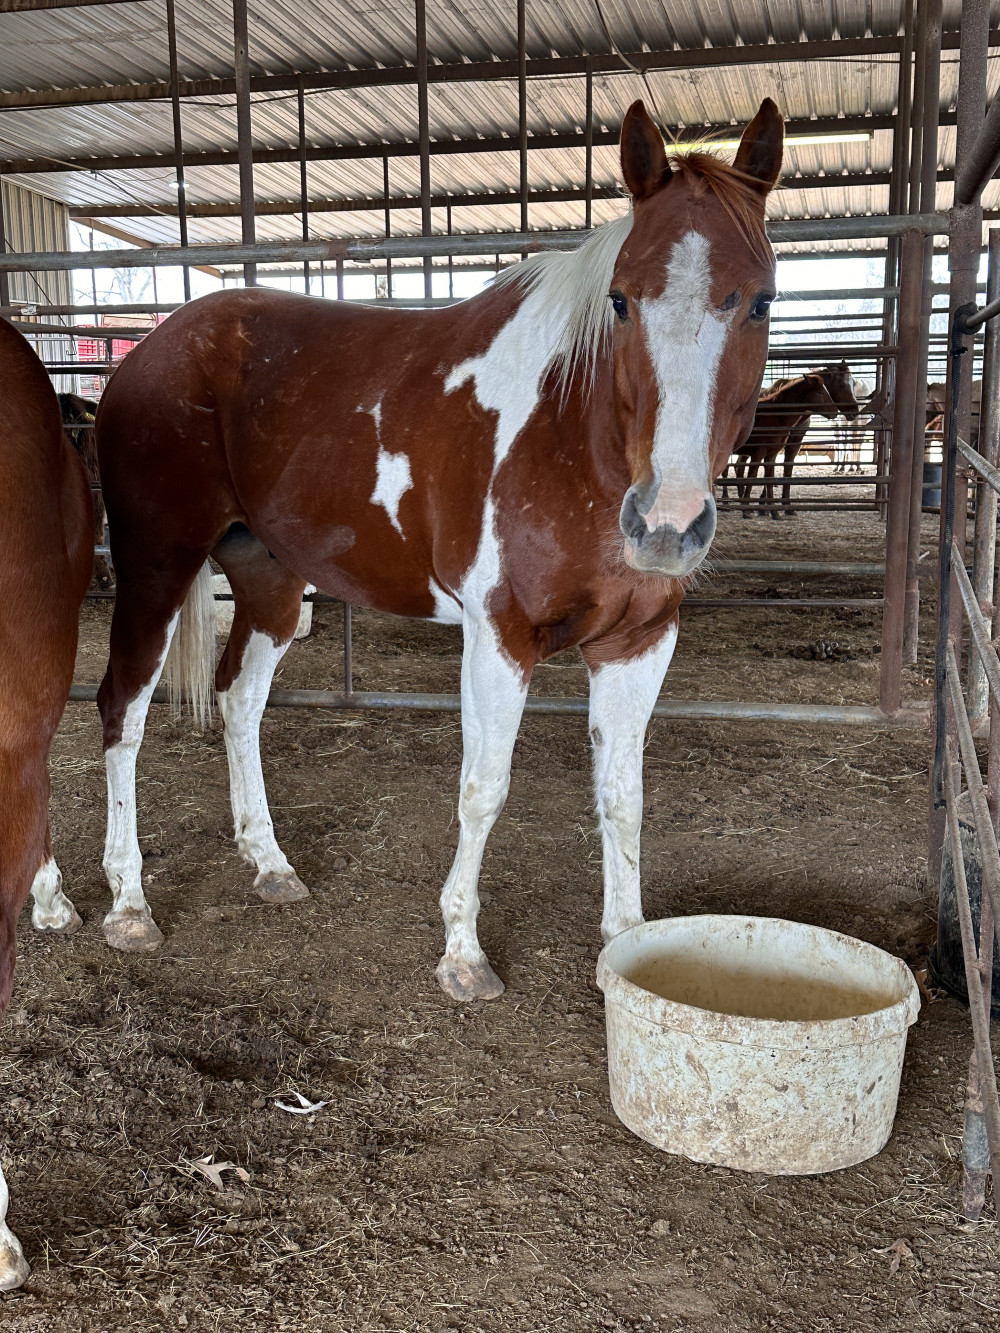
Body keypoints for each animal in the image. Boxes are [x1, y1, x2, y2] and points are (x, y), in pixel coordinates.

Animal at [81, 99, 782, 1004]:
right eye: (622, 300)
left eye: (760, 301)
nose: (667, 524)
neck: (570, 435)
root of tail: (151, 350)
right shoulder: (498, 637)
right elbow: (483, 790)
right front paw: (463, 953)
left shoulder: (638, 642)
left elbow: (622, 794)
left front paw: (623, 945)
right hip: (157, 566)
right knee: (123, 711)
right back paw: (129, 904)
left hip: (271, 581)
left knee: (239, 700)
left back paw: (270, 862)